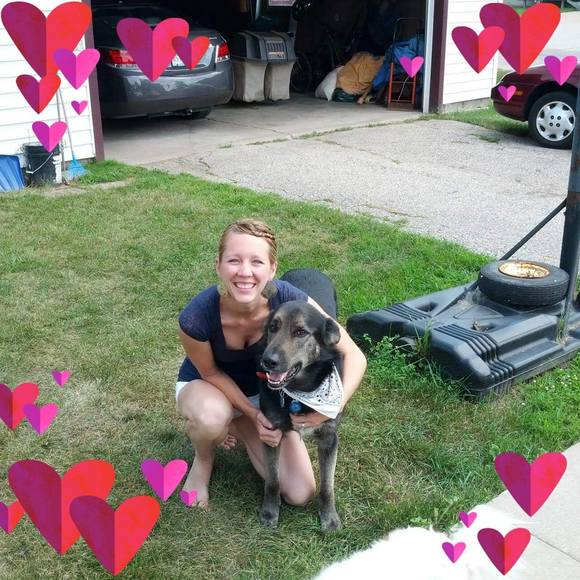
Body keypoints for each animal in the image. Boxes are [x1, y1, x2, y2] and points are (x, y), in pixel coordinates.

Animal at [258, 297, 344, 533]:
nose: (267, 361)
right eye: (273, 327)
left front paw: (329, 517)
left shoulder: (329, 438)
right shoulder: (270, 433)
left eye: (300, 332)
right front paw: (270, 510)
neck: (300, 392)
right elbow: (273, 479)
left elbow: (327, 486)